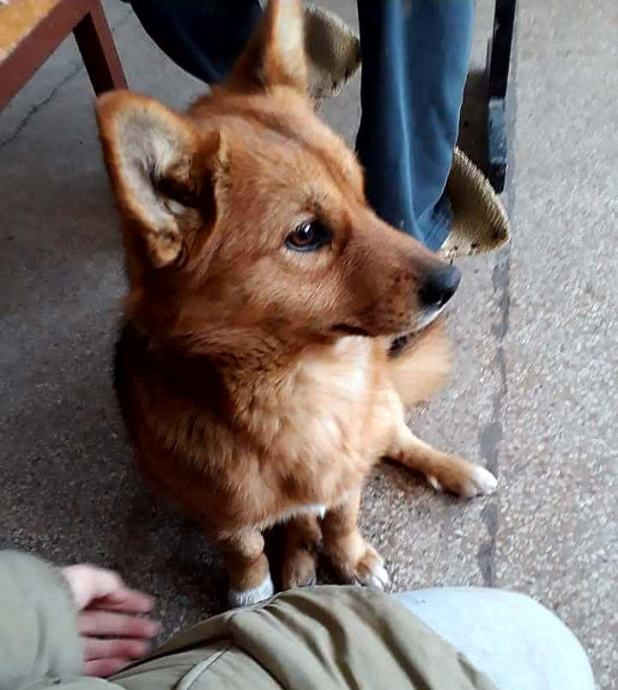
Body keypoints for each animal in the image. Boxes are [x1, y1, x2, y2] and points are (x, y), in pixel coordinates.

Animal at [96, 0, 497, 607]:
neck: (301, 382)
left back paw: (456, 471)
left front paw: (350, 558)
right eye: (305, 234)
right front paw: (253, 591)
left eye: (361, 191)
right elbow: (244, 546)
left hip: (383, 411)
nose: (450, 281)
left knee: (398, 438)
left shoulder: (347, 469)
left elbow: (344, 517)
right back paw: (298, 558)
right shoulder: (218, 508)